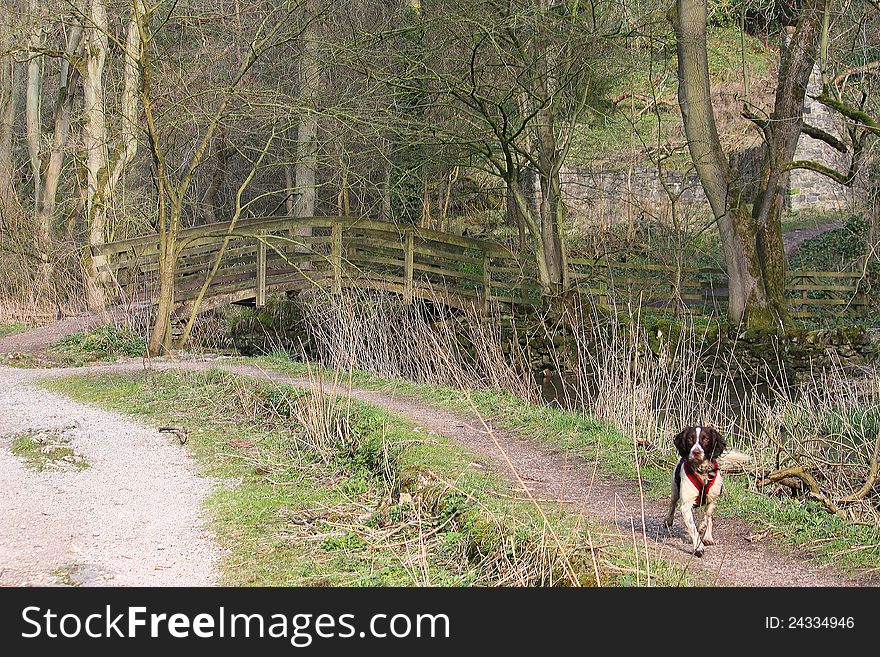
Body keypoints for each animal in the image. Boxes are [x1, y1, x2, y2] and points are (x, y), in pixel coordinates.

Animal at [664, 426, 744, 560]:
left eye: (705, 439)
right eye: (690, 439)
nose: (696, 452)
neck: (702, 472)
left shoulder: (713, 499)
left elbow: (707, 516)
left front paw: (703, 529)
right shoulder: (686, 506)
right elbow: (693, 529)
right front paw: (698, 548)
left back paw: (708, 537)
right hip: (675, 489)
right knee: (672, 504)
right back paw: (668, 520)